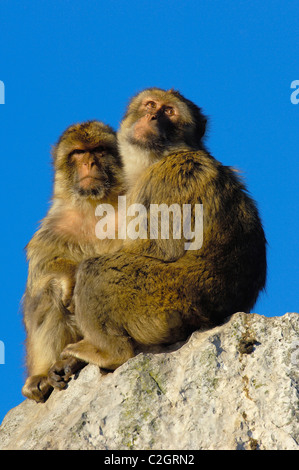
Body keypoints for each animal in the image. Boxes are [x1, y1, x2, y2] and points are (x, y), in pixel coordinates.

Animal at [22, 119, 125, 402]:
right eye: (78, 153)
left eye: (99, 150)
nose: (89, 163)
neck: (95, 204)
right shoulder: (56, 220)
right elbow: (41, 264)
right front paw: (67, 277)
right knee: (46, 293)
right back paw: (43, 375)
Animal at [49, 88, 268, 382]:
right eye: (151, 105)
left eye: (169, 112)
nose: (152, 116)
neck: (157, 158)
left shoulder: (172, 175)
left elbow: (158, 249)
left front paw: (70, 281)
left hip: (165, 300)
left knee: (97, 270)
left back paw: (110, 351)